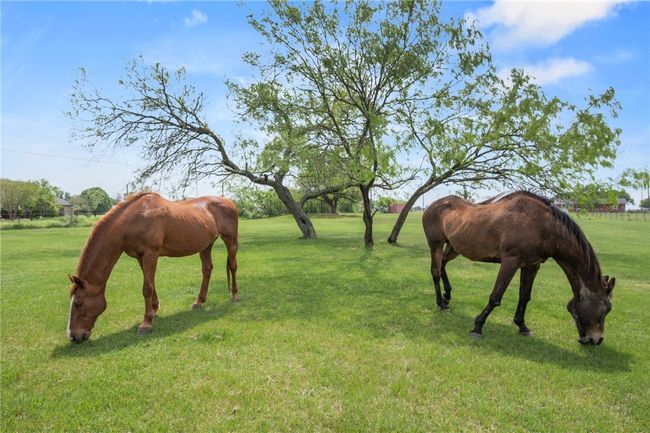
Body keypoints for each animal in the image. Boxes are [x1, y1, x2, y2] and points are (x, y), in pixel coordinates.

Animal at [66, 192, 239, 343]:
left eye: (78, 303)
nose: (73, 336)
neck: (134, 220)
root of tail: (230, 202)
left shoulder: (151, 253)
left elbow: (147, 288)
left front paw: (146, 324)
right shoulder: (140, 257)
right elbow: (151, 283)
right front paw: (154, 310)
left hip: (230, 241)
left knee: (233, 266)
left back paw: (234, 296)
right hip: (206, 245)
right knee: (207, 269)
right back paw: (199, 301)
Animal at [422, 191, 615, 345]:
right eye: (606, 309)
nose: (596, 340)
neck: (541, 225)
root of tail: (433, 205)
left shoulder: (531, 266)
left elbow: (524, 296)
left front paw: (522, 326)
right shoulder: (510, 262)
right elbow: (496, 297)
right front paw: (477, 327)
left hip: (453, 247)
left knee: (442, 265)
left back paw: (447, 296)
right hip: (436, 244)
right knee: (435, 272)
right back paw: (441, 304)